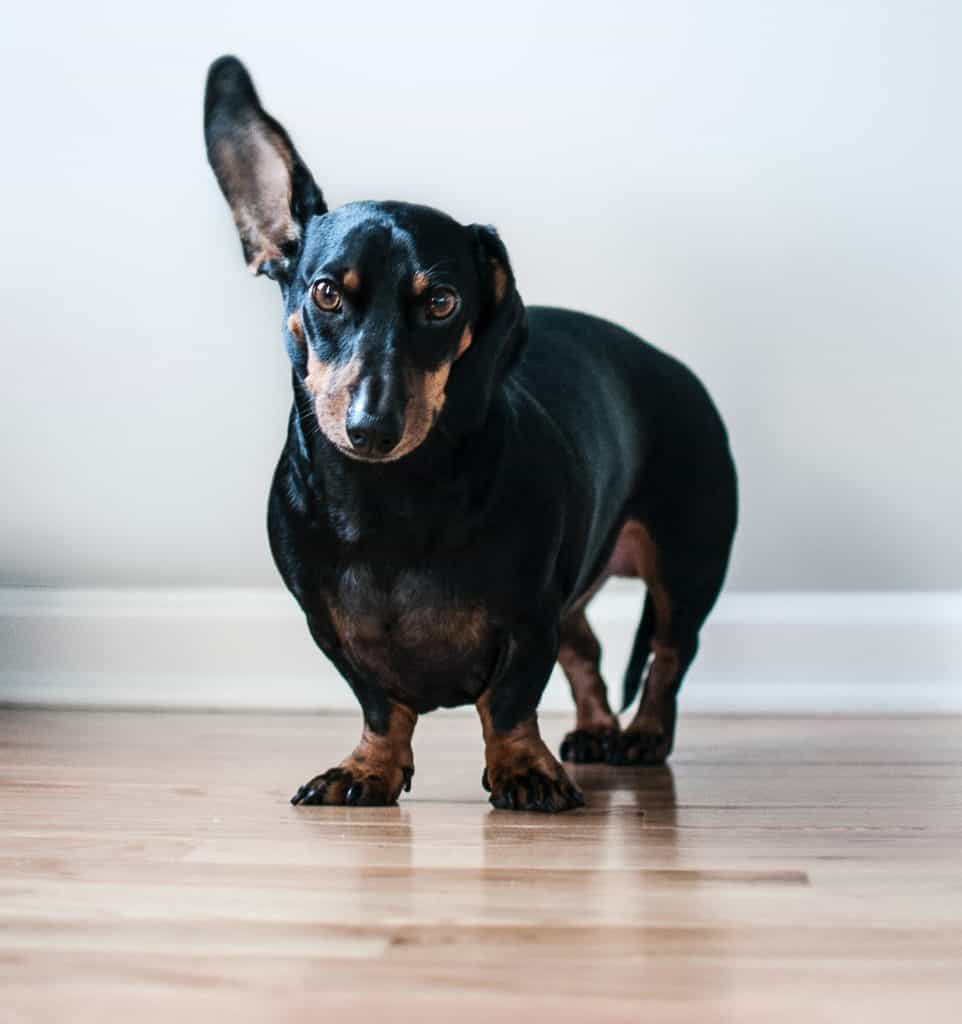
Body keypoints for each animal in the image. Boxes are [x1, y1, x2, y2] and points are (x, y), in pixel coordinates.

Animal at [202, 56, 741, 811]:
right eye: (326, 293)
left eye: (441, 301)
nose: (372, 427)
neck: (387, 500)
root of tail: (668, 363)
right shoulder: (330, 628)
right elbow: (381, 705)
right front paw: (369, 768)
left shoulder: (528, 617)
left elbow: (509, 700)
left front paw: (522, 769)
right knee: (587, 652)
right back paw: (597, 729)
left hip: (685, 564)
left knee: (667, 655)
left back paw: (641, 736)